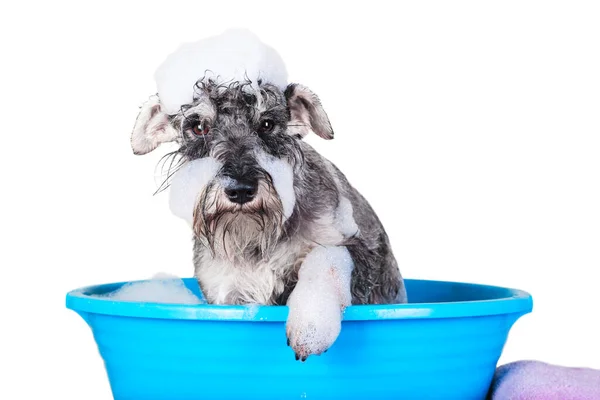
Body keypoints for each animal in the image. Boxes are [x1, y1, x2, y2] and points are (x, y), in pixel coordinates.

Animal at [129, 77, 406, 360]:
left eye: (267, 124)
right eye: (197, 127)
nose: (241, 189)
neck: (255, 239)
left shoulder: (363, 255)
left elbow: (326, 257)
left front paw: (311, 326)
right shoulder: (228, 292)